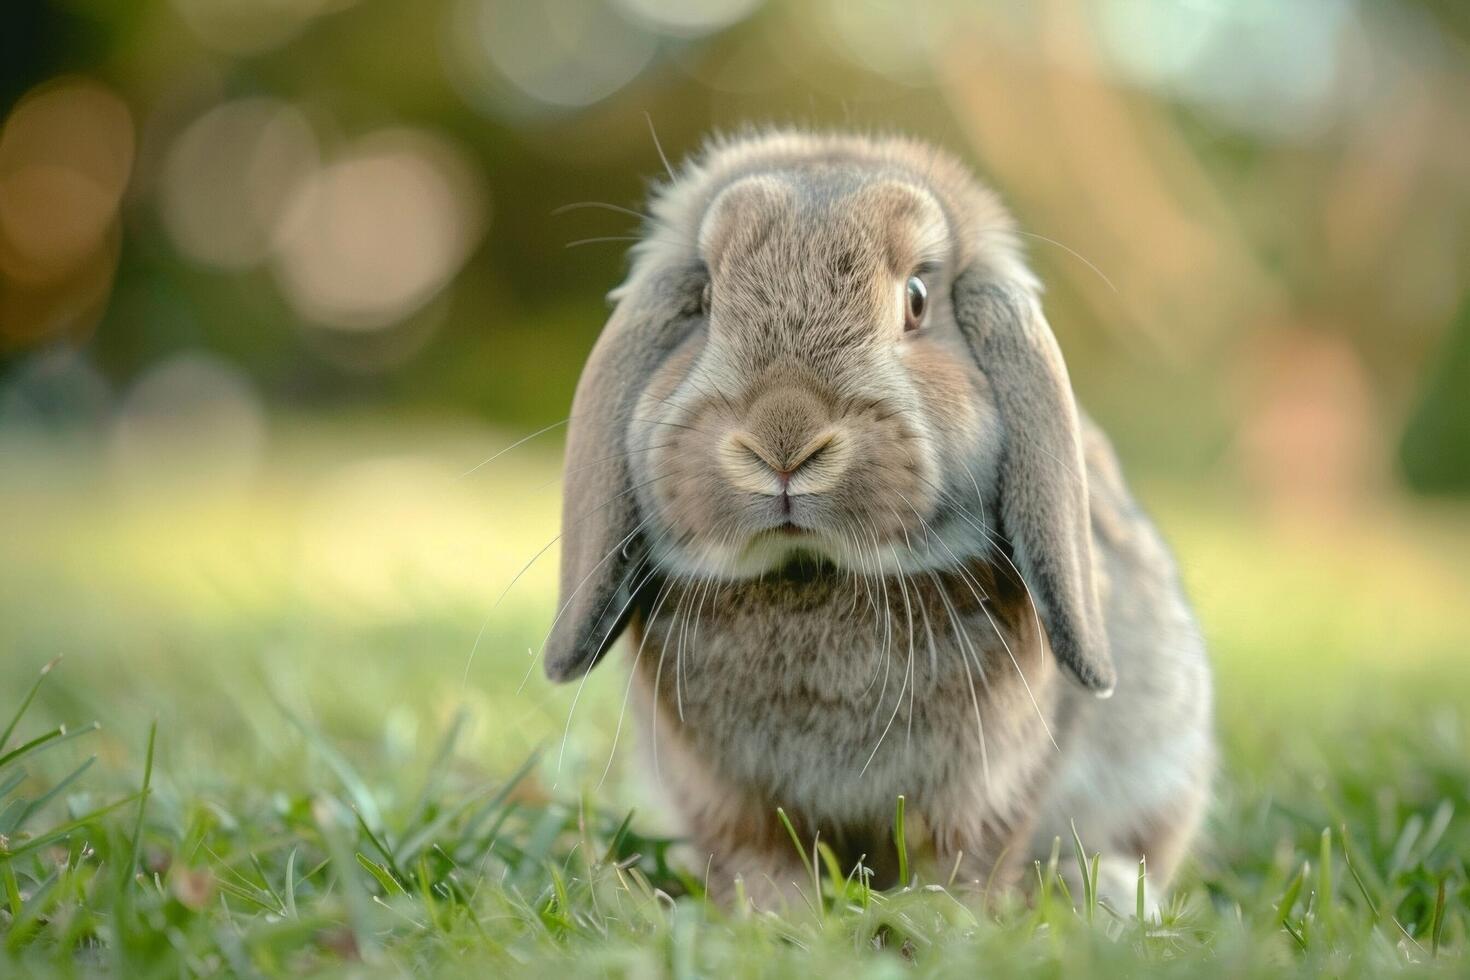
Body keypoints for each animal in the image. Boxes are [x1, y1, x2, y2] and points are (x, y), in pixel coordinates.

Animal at [546, 128, 1211, 910]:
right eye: (705, 299)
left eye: (917, 299)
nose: (783, 441)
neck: (811, 578)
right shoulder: (726, 799)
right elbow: (759, 862)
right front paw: (776, 920)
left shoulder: (987, 790)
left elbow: (967, 862)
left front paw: (946, 921)